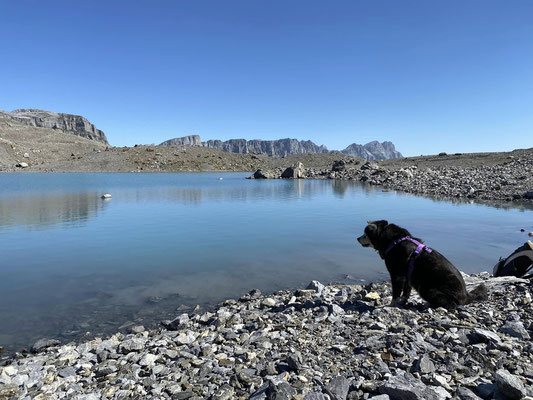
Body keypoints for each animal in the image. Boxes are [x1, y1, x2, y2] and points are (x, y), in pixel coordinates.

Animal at [358, 220, 486, 308]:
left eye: (365, 234)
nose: (357, 238)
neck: (393, 241)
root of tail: (467, 296)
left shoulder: (396, 275)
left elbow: (396, 294)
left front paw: (391, 305)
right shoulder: (407, 276)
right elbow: (406, 292)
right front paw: (403, 302)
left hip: (426, 288)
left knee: (451, 305)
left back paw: (429, 305)